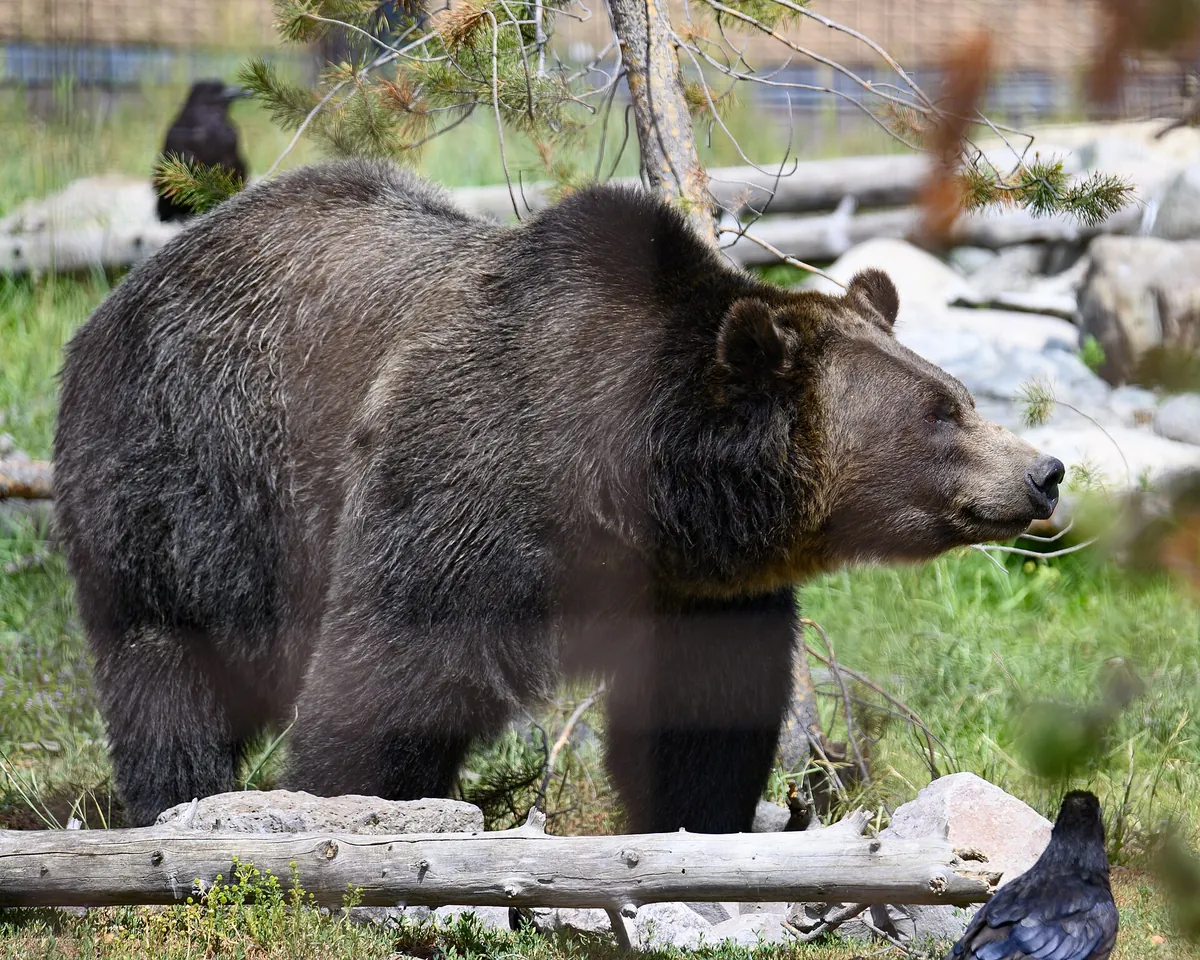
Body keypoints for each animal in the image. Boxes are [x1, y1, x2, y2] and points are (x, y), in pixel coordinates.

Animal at [53, 158, 1064, 830]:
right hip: (196, 471)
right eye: (940, 413)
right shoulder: (465, 482)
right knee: (169, 657)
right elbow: (393, 672)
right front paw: (361, 804)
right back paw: (179, 796)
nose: (1043, 472)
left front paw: (695, 817)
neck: (626, 484)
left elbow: (703, 713)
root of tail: (119, 295)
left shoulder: (692, 587)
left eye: (959, 393)